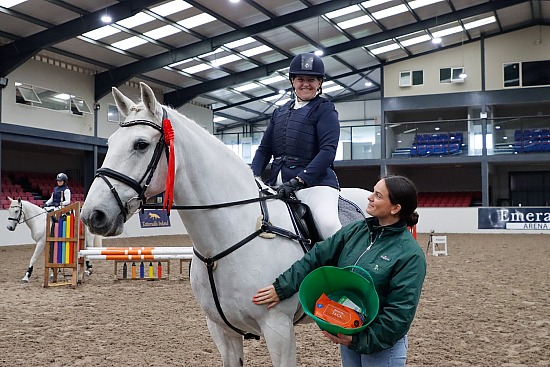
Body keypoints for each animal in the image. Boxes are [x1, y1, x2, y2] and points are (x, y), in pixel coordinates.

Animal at [80, 83, 374, 367]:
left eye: (140, 144)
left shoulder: (278, 329)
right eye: (110, 142)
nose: (93, 214)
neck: (227, 238)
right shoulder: (221, 329)